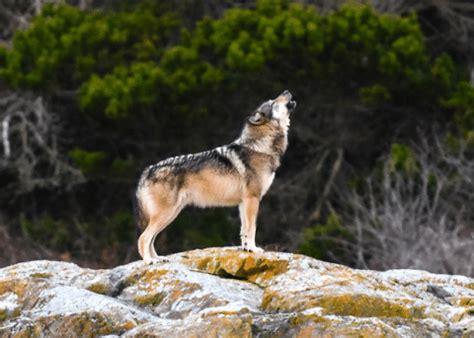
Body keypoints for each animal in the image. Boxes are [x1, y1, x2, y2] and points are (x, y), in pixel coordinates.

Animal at [134, 90, 296, 264]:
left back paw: (158, 259)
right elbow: (251, 227)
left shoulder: (243, 202)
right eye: (273, 102)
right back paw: (149, 261)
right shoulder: (252, 199)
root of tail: (147, 170)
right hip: (166, 214)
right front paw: (253, 249)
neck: (259, 147)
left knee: (150, 239)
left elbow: (243, 230)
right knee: (143, 238)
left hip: (171, 214)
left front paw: (246, 249)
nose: (287, 91)